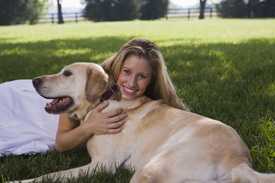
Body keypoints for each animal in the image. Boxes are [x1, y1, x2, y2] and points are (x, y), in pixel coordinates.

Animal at [16, 62, 274, 182]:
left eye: (67, 74)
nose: (34, 80)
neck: (102, 102)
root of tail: (239, 161)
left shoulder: (102, 164)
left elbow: (52, 175)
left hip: (152, 168)